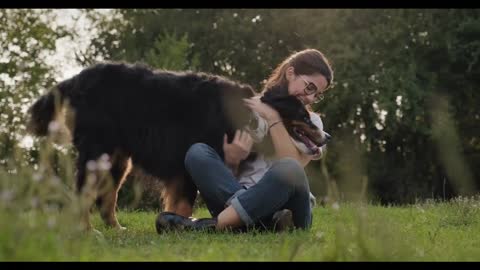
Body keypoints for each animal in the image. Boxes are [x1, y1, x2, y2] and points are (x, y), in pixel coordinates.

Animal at [27, 61, 330, 230]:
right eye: (304, 116)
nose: (327, 137)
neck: (251, 114)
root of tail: (78, 78)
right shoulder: (186, 164)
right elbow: (183, 203)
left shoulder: (179, 173)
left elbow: (180, 203)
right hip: (98, 152)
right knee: (82, 195)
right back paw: (88, 231)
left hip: (117, 159)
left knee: (106, 198)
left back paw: (116, 229)